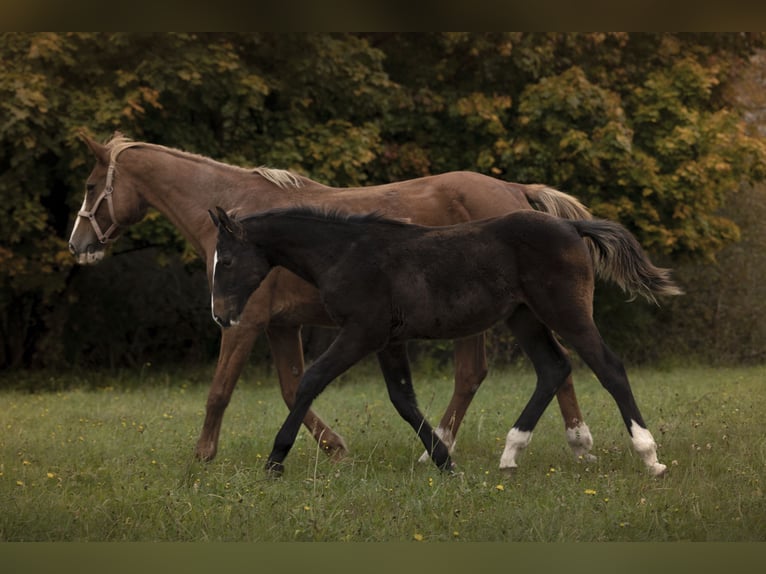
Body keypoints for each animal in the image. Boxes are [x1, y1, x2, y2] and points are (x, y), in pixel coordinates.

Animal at [69, 135, 596, 468]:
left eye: (92, 187)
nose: (77, 245)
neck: (242, 220)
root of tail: (514, 190)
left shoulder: (244, 322)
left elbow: (220, 392)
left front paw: (203, 457)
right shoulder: (282, 326)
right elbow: (292, 387)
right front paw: (335, 450)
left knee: (526, 366)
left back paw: (571, 442)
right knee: (502, 371)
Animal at [207, 207, 680, 476]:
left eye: (226, 260)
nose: (221, 315)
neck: (345, 254)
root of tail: (571, 224)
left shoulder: (362, 332)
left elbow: (311, 381)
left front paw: (274, 461)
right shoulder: (387, 340)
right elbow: (402, 400)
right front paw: (444, 461)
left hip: (565, 311)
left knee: (608, 366)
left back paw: (649, 457)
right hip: (523, 316)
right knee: (553, 367)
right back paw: (511, 454)